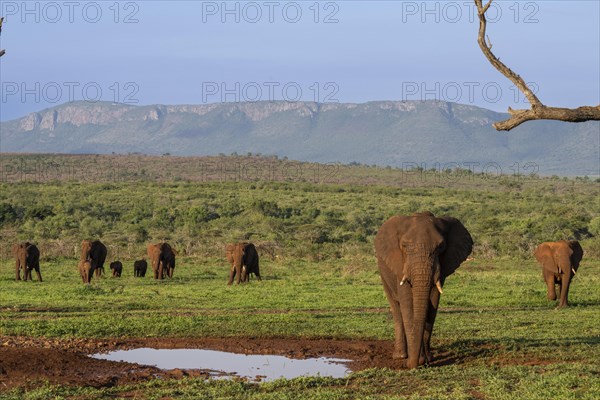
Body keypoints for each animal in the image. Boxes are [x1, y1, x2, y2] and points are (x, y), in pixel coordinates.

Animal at [376, 212, 474, 368]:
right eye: (404, 246)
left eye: (441, 246)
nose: (413, 364)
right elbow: (408, 305)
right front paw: (415, 360)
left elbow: (432, 303)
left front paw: (428, 359)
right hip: (383, 272)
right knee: (396, 308)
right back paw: (400, 356)